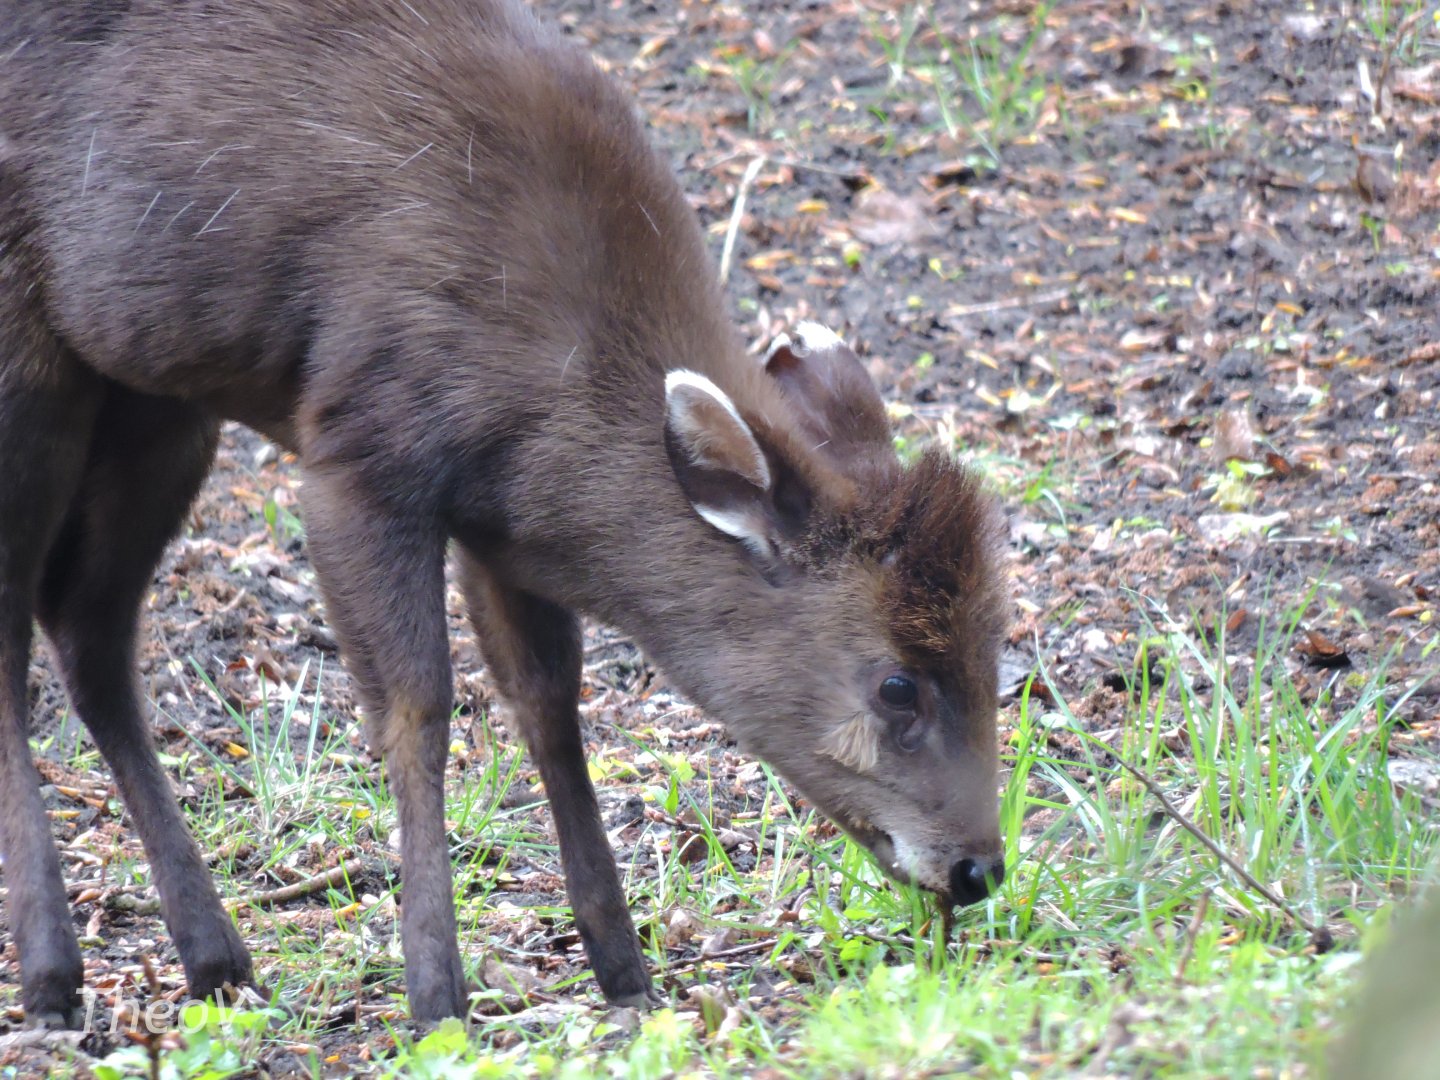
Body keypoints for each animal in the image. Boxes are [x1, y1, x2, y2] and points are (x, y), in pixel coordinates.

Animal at [0, 0, 1009, 1026]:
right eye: (896, 686)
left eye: (992, 654)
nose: (979, 868)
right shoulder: (357, 452)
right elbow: (418, 708)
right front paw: (435, 993)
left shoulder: (503, 529)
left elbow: (550, 704)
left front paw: (623, 970)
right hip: (28, 363)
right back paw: (53, 973)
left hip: (154, 396)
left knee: (85, 630)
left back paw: (214, 959)